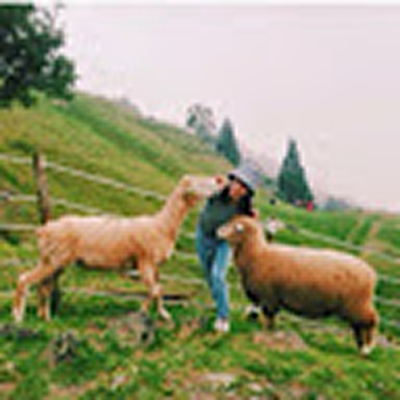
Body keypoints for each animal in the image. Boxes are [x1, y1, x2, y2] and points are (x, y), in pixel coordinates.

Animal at [13, 175, 220, 323]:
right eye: (199, 182)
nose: (219, 180)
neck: (162, 225)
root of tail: (43, 229)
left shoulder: (154, 265)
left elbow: (158, 290)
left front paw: (161, 313)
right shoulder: (145, 261)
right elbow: (155, 290)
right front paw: (144, 311)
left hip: (55, 261)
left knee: (43, 287)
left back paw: (45, 317)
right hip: (53, 259)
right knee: (24, 279)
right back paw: (18, 316)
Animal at [217, 216, 379, 356]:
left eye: (238, 227)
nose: (218, 231)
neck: (258, 254)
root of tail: (371, 272)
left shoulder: (270, 297)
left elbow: (269, 317)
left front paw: (269, 333)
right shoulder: (261, 295)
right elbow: (255, 311)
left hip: (357, 304)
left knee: (370, 321)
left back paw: (366, 348)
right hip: (355, 306)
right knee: (358, 326)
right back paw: (360, 347)